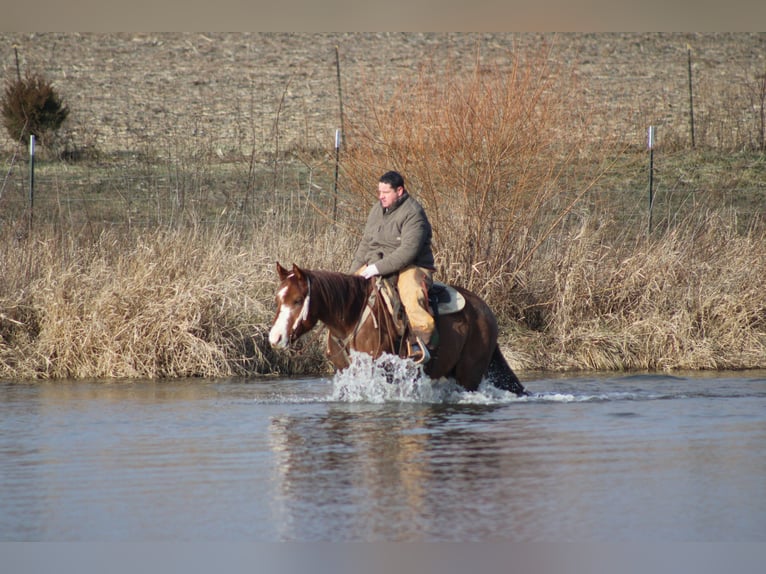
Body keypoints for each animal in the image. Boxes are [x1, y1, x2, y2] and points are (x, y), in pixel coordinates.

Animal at [268, 262, 527, 396]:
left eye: (298, 300)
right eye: (278, 298)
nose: (275, 338)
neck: (352, 318)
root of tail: (485, 311)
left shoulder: (381, 369)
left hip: (469, 374)